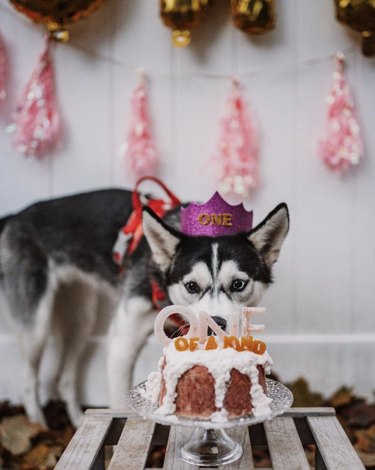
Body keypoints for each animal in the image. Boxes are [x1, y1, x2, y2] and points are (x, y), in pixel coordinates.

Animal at [0, 187, 290, 426]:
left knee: (65, 379)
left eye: (238, 284)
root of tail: (15, 218)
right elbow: (120, 405)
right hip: (36, 328)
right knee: (30, 380)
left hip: (81, 319)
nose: (214, 325)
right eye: (191, 286)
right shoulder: (121, 344)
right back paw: (39, 423)